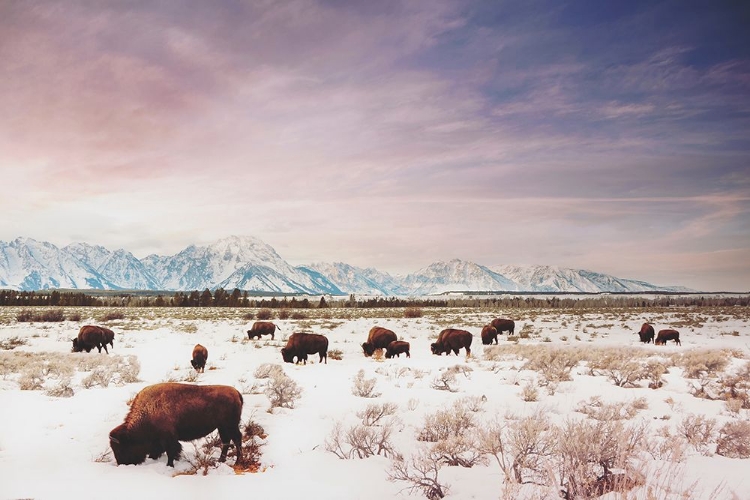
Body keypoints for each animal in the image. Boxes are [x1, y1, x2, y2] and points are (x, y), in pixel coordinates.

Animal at [108, 382, 242, 468]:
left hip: (230, 425)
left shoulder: (169, 438)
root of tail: (236, 393)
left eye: (120, 448)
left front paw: (169, 465)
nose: (122, 464)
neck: (148, 410)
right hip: (222, 427)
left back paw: (237, 462)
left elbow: (171, 452)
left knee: (237, 439)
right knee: (226, 441)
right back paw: (221, 460)